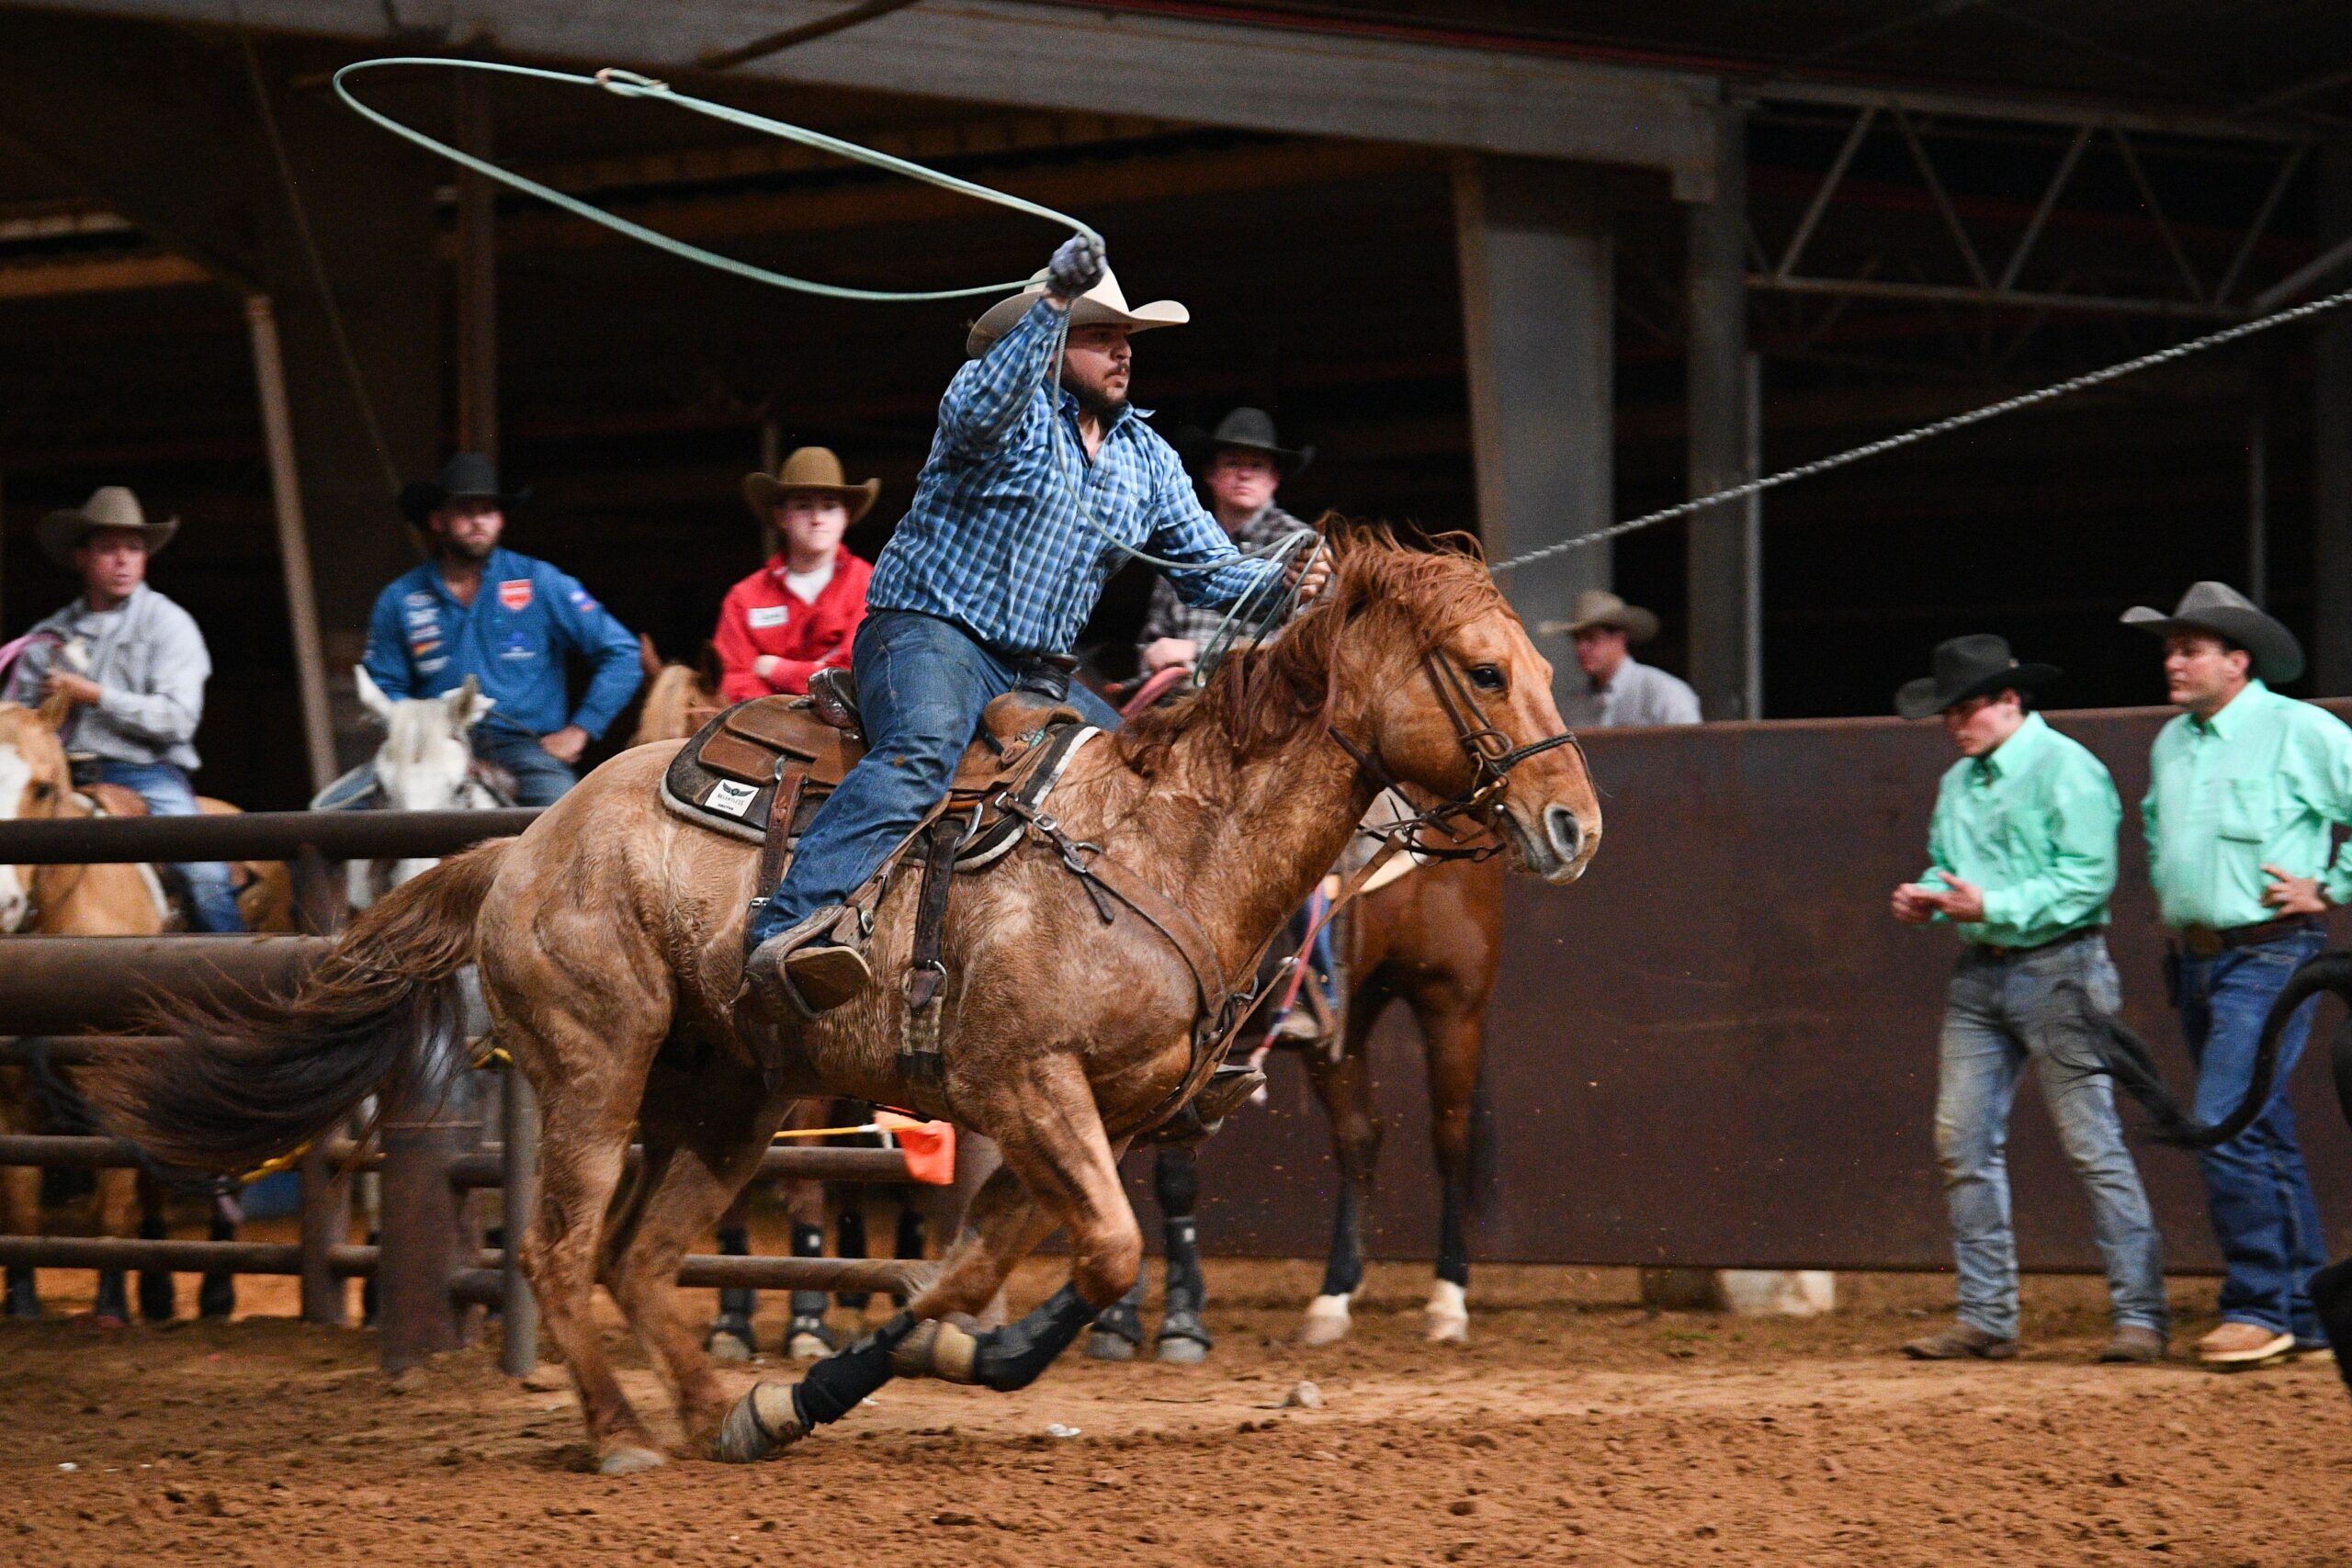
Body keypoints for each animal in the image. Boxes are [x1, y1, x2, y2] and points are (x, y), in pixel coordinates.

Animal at [91, 533, 1599, 1476]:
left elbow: (995, 1271)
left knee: (640, 1258)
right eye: (1480, 667)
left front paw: (873, 1361)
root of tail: (518, 845)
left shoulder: (1080, 1119)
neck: (1159, 845)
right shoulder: (1024, 1087)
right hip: (596, 1066)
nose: (1574, 823)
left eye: (1534, 663)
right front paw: (867, 1366)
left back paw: (717, 1408)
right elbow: (1102, 1254)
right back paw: (623, 1429)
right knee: (565, 1251)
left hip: (727, 1096)